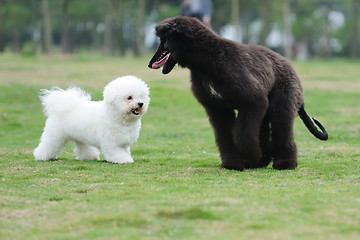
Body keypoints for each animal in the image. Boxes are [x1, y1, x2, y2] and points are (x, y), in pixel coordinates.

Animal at [148, 16, 328, 171]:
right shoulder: (217, 108)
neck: (208, 60)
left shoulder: (253, 101)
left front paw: (252, 155)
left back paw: (284, 163)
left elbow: (241, 134)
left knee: (282, 131)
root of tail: (290, 65)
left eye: (163, 40)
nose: (150, 64)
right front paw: (233, 164)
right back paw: (262, 160)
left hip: (281, 104)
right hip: (266, 113)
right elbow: (225, 136)